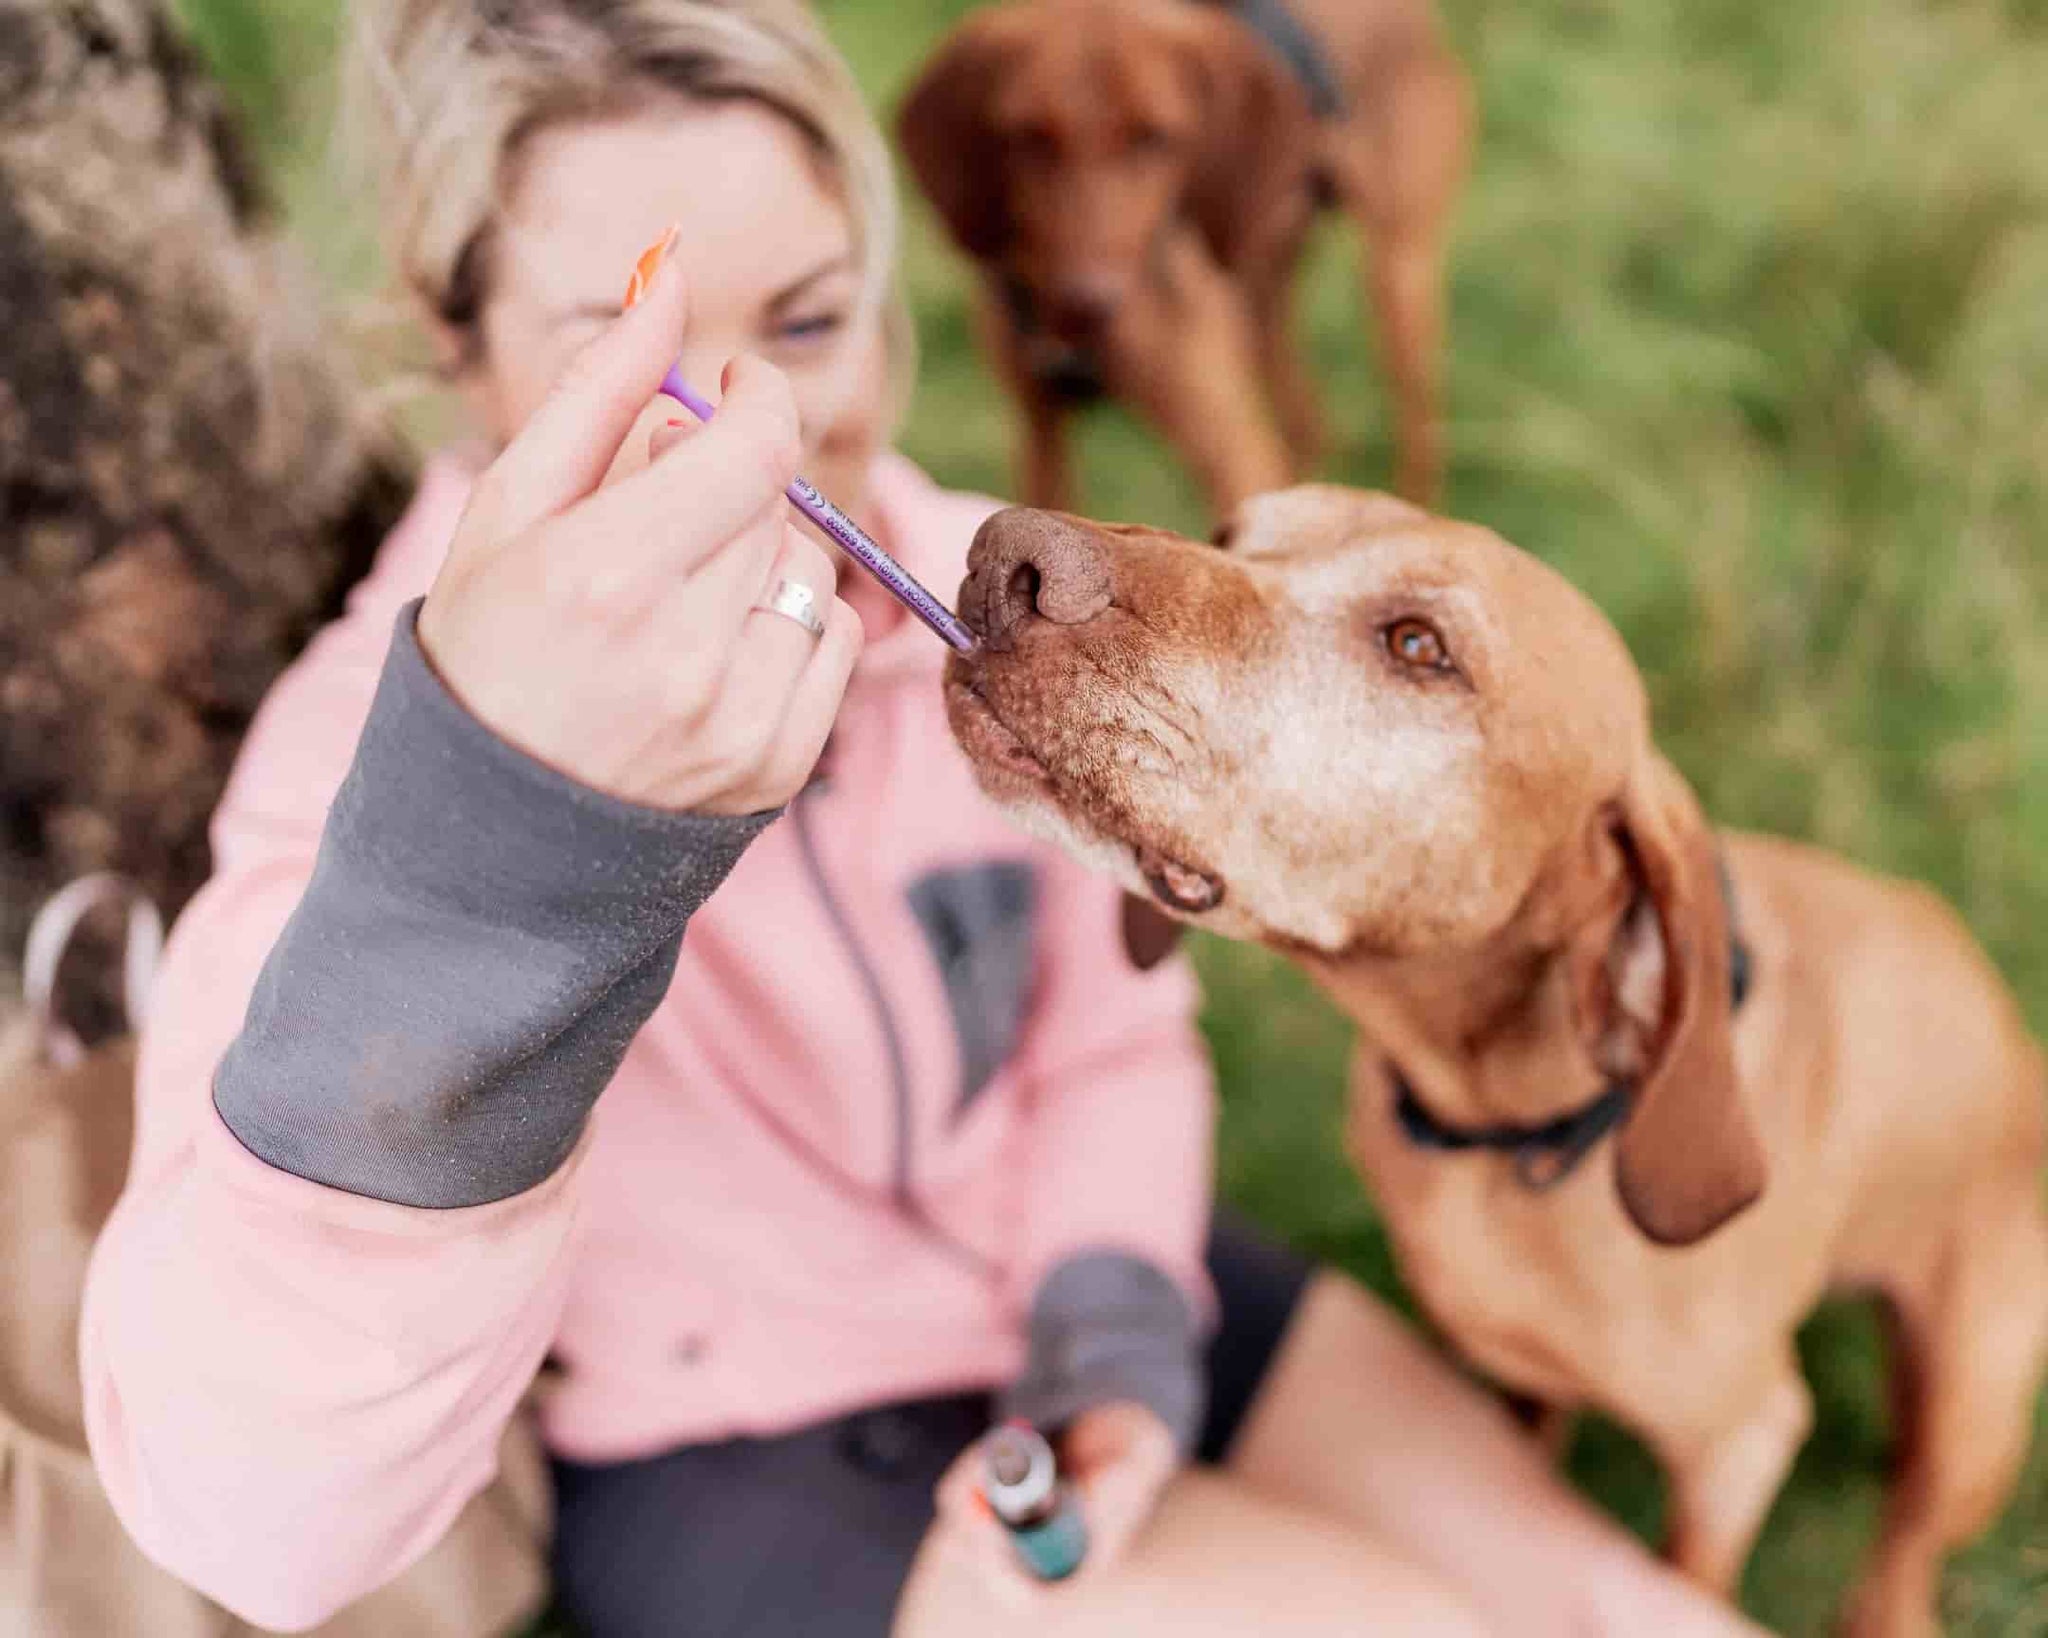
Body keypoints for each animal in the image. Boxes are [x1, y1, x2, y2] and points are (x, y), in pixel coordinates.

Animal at [942, 489, 2048, 1637]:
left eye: (1418, 647)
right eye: (1231, 535)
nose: (1001, 555)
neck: (1507, 1133)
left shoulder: (1737, 1446)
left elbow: (1685, 1571)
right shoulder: (1514, 1382)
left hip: (1971, 1409)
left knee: (1907, 1542)